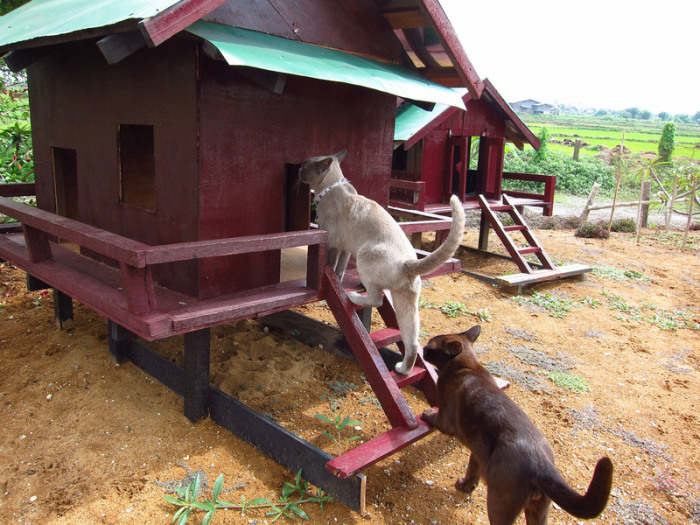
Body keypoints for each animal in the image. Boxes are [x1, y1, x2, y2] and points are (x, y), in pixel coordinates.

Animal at [296, 149, 464, 374]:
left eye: (304, 166)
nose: (297, 168)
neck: (331, 187)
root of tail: (408, 264)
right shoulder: (345, 249)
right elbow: (339, 272)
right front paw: (338, 283)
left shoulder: (332, 243)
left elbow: (330, 268)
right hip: (405, 306)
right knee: (413, 343)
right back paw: (402, 370)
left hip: (364, 255)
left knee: (377, 300)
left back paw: (352, 297)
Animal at [422, 326, 612, 520]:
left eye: (430, 346)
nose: (422, 348)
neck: (467, 366)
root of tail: (541, 465)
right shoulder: (477, 451)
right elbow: (472, 470)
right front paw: (466, 486)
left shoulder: (445, 418)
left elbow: (434, 417)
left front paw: (426, 413)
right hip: (538, 511)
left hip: (499, 505)